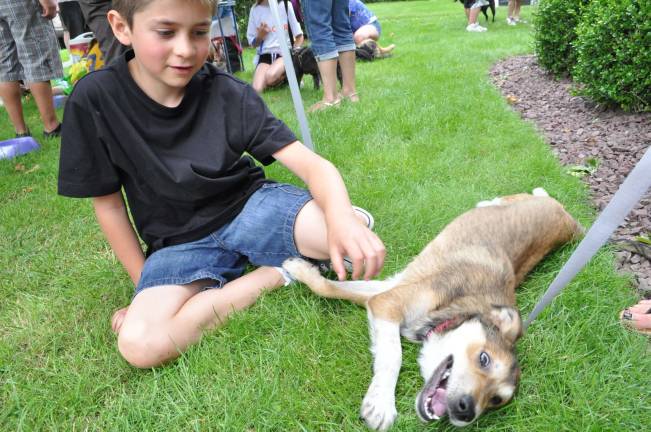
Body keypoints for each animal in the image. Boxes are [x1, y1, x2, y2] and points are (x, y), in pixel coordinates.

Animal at [282, 189, 584, 432]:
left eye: (496, 400)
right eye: (484, 358)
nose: (466, 410)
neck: (455, 308)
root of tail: (570, 219)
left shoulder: (385, 293)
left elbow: (334, 289)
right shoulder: (389, 301)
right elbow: (392, 354)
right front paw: (382, 403)